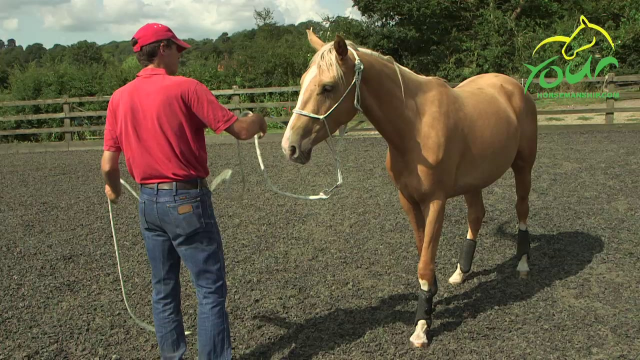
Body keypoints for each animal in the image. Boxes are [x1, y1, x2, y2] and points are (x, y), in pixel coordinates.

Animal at [282, 29, 536, 348]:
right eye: (303, 80)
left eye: (327, 87)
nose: (290, 146)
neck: (415, 127)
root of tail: (515, 86)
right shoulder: (408, 200)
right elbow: (422, 251)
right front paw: (430, 301)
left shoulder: (436, 201)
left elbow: (425, 263)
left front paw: (421, 327)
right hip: (473, 181)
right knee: (476, 215)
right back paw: (461, 272)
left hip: (523, 166)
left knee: (522, 208)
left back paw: (523, 263)